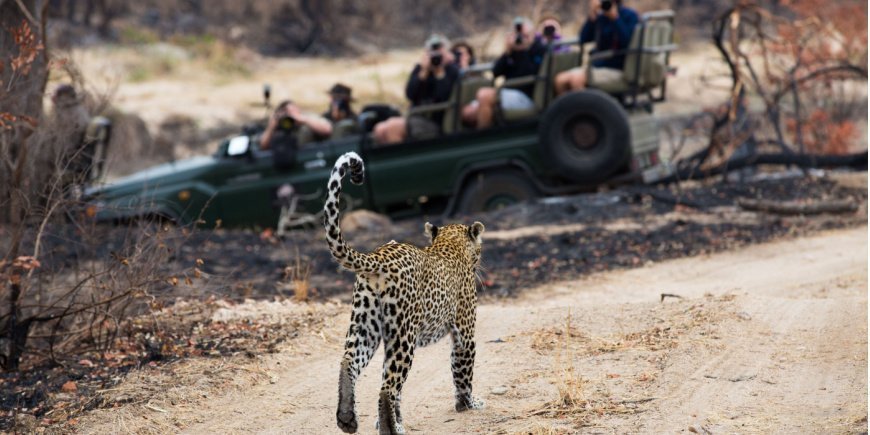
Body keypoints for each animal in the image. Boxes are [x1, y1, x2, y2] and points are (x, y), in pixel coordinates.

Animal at [328, 152, 488, 434]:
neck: (449, 243)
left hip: (365, 324)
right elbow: (462, 372)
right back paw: (390, 430)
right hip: (404, 334)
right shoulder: (464, 332)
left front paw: (396, 418)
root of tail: (378, 256)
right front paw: (467, 404)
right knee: (386, 388)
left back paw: (347, 418)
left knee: (349, 362)